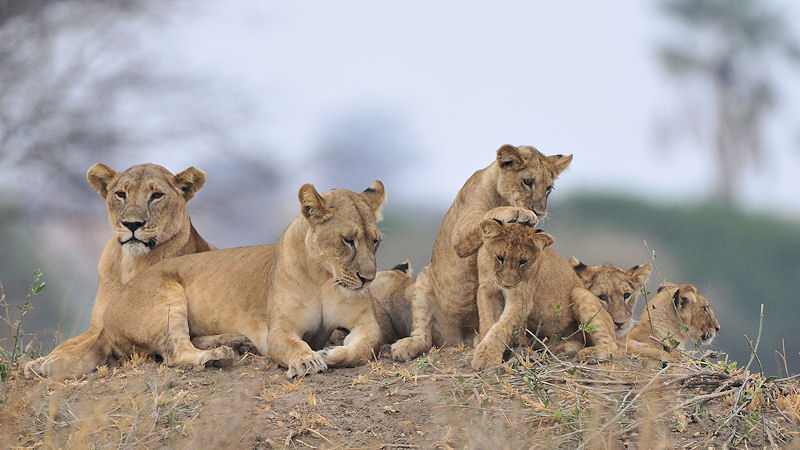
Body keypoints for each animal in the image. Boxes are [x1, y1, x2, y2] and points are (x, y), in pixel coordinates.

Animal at [24, 163, 215, 379]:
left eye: (157, 195)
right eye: (121, 194)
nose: (132, 224)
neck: (130, 262)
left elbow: (85, 346)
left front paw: (52, 362)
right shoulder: (96, 324)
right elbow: (69, 343)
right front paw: (39, 361)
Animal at [62, 182, 387, 379]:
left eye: (376, 241)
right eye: (348, 241)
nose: (368, 279)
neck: (323, 276)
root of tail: (105, 321)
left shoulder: (365, 322)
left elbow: (367, 345)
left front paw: (331, 353)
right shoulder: (278, 331)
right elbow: (292, 345)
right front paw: (307, 359)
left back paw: (233, 342)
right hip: (167, 294)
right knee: (175, 352)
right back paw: (218, 356)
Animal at [392, 144, 572, 361]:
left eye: (548, 188)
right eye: (527, 182)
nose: (540, 212)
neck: (501, 194)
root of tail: (458, 339)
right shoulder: (460, 235)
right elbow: (487, 215)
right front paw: (521, 213)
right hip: (424, 281)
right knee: (424, 336)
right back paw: (405, 347)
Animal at [470, 219, 620, 370]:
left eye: (523, 261)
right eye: (500, 257)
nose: (508, 284)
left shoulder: (521, 298)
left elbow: (502, 326)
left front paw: (486, 357)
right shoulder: (487, 290)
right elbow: (488, 322)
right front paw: (483, 345)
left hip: (579, 292)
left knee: (612, 347)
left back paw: (589, 354)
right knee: (579, 342)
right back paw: (557, 349)